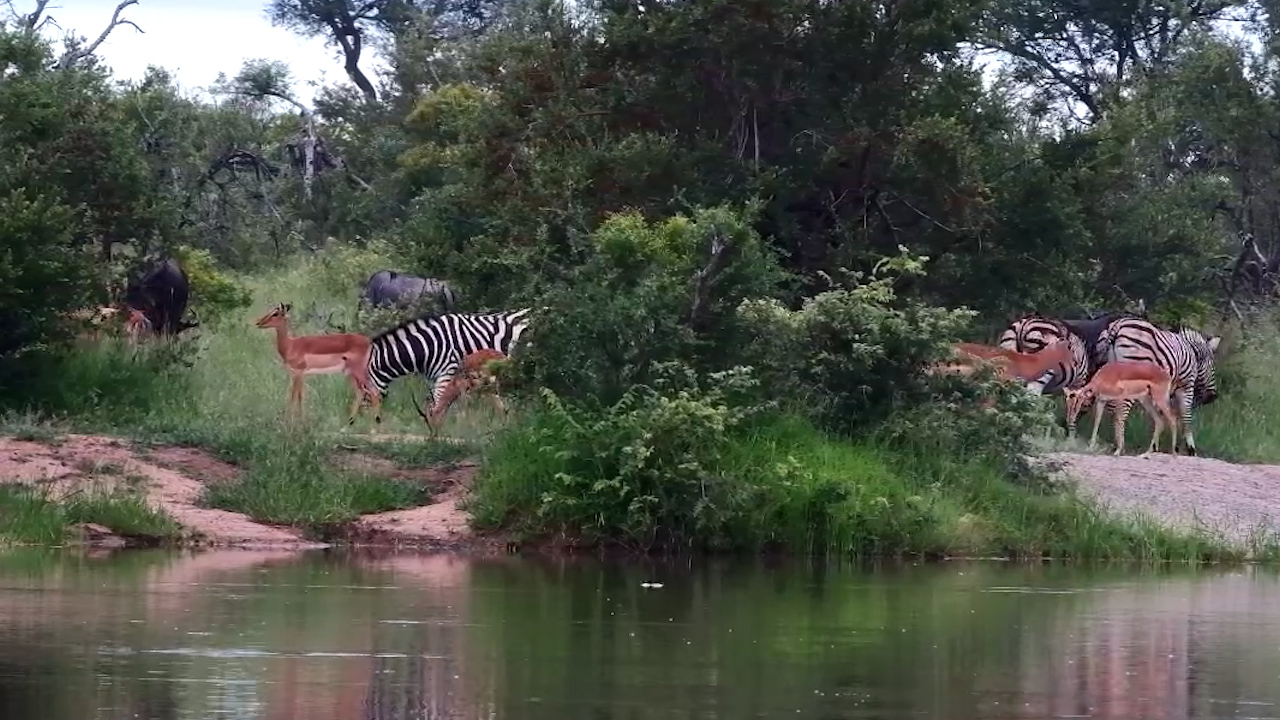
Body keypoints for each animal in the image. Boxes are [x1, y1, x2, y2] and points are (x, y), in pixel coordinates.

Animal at [352, 308, 533, 428]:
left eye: (364, 390)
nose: (354, 422)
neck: (428, 346)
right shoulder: (435, 377)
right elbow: (435, 403)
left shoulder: (447, 371)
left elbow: (439, 404)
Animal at [1097, 317, 1222, 456]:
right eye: (1212, 368)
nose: (1213, 396)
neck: (1192, 354)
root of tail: (1118, 325)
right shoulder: (1185, 386)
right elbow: (1186, 415)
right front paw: (1191, 449)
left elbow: (1161, 416)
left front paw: (1155, 447)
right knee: (1121, 410)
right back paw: (1120, 448)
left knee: (1111, 407)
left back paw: (1115, 444)